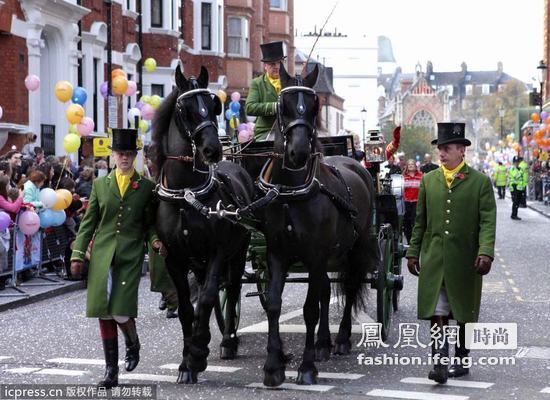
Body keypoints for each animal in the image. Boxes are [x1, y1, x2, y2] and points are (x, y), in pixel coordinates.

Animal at [151, 65, 254, 384]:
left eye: (213, 104)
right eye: (185, 109)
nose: (212, 151)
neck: (187, 195)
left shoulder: (217, 252)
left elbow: (207, 298)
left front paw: (197, 353)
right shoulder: (174, 258)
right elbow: (187, 307)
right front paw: (186, 362)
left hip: (238, 251)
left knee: (231, 289)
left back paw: (229, 340)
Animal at [258, 64, 382, 386]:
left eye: (314, 106)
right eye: (283, 105)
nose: (299, 152)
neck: (290, 192)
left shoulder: (314, 255)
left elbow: (310, 309)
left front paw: (306, 367)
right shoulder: (277, 253)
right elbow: (274, 304)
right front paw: (273, 366)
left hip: (356, 246)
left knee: (349, 287)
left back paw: (340, 339)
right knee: (327, 289)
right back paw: (324, 343)